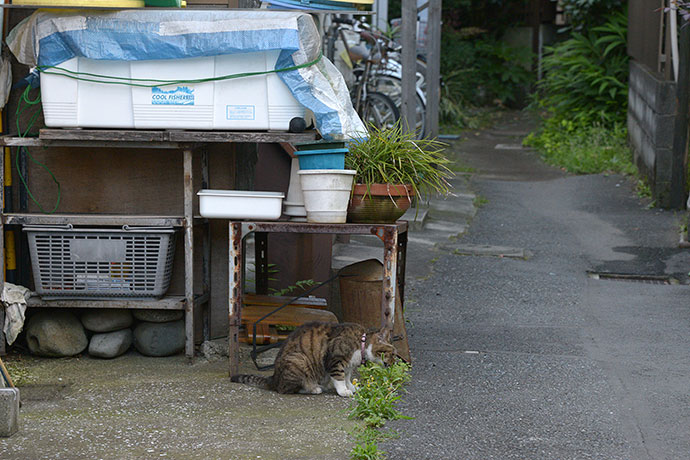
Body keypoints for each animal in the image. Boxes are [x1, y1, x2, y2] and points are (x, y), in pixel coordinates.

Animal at [231, 322, 396, 398]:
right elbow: (339, 377)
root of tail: (274, 378)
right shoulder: (335, 359)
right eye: (393, 354)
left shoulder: (348, 365)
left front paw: (352, 387)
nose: (396, 363)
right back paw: (314, 388)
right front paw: (344, 391)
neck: (361, 343)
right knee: (286, 389)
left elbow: (347, 377)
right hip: (299, 361)